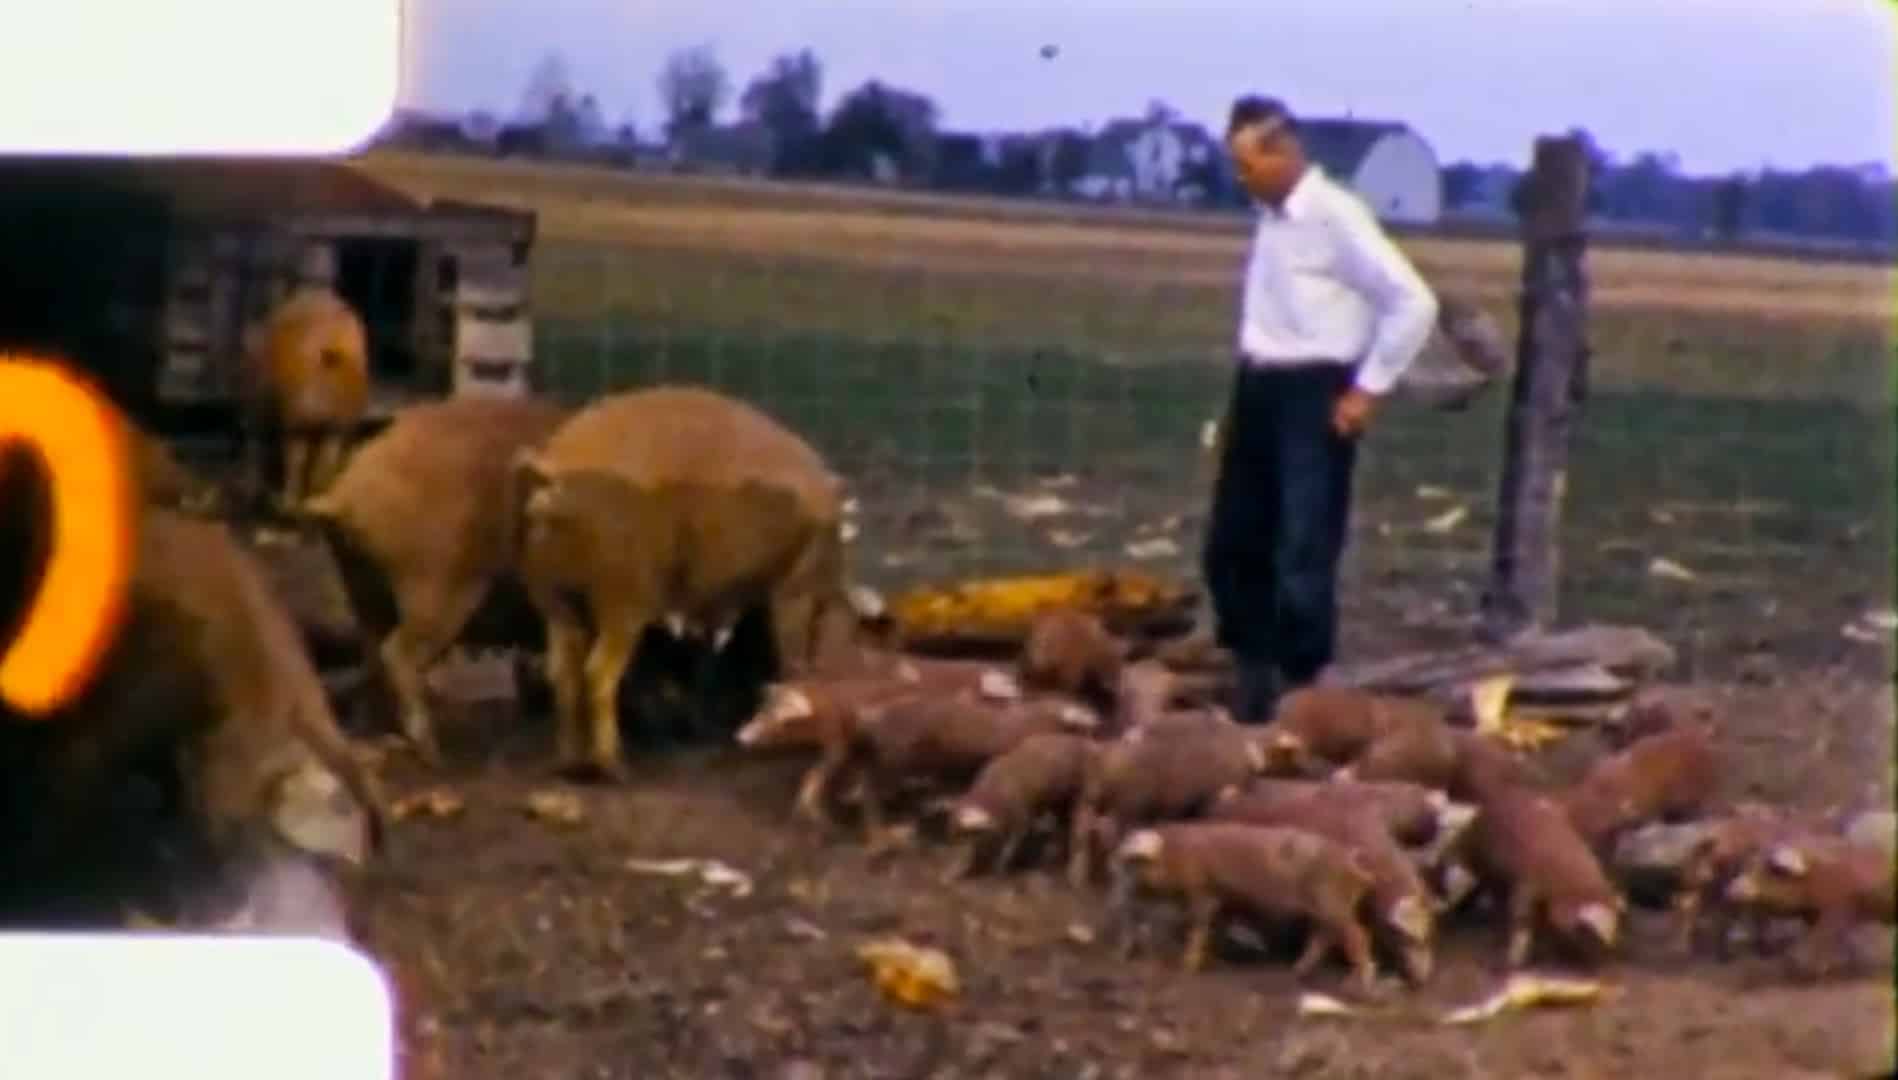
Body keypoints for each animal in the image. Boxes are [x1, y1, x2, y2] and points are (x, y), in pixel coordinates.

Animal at [937, 728, 1093, 880]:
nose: (946, 877)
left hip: (1079, 794)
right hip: (1059, 802)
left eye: (965, 837)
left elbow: (1012, 842)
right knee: (1063, 825)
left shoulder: (1021, 816)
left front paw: (998, 869)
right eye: (950, 836)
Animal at [1108, 819, 1374, 986]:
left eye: (1130, 860)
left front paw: (1186, 967)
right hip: (1324, 907)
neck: (1176, 854)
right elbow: (1212, 926)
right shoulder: (1218, 897)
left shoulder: (1201, 891)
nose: (1113, 871)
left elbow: (1198, 926)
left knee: (1357, 934)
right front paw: (1215, 960)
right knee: (1324, 936)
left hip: (1330, 901)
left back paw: (1356, 981)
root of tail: (1351, 863)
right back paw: (1297, 972)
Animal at [1442, 778, 1624, 964]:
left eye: (1614, 932)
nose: (1602, 961)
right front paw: (1514, 960)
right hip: (1478, 859)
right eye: (1587, 932)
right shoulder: (1525, 884)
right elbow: (1521, 918)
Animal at [1730, 831, 1890, 971]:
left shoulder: (1839, 907)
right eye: (1747, 866)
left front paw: (1803, 965)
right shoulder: (1814, 914)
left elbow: (1822, 935)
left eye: (1773, 870)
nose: (1730, 890)